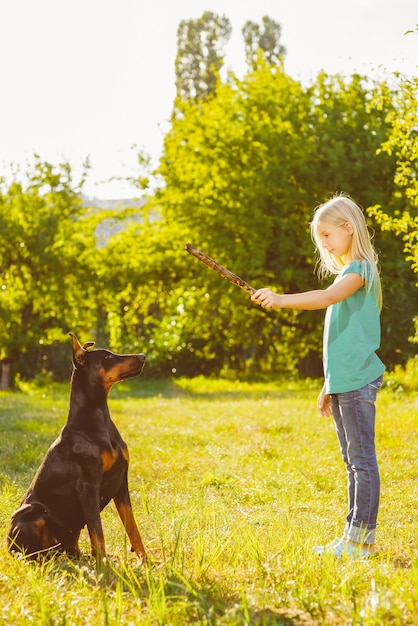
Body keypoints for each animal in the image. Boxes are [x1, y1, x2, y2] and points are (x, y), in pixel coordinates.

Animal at [6, 332, 147, 560]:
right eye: (107, 358)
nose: (143, 356)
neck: (98, 417)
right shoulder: (88, 487)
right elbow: (98, 533)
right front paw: (103, 566)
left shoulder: (121, 482)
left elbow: (133, 529)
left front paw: (147, 562)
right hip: (32, 512)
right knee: (26, 552)